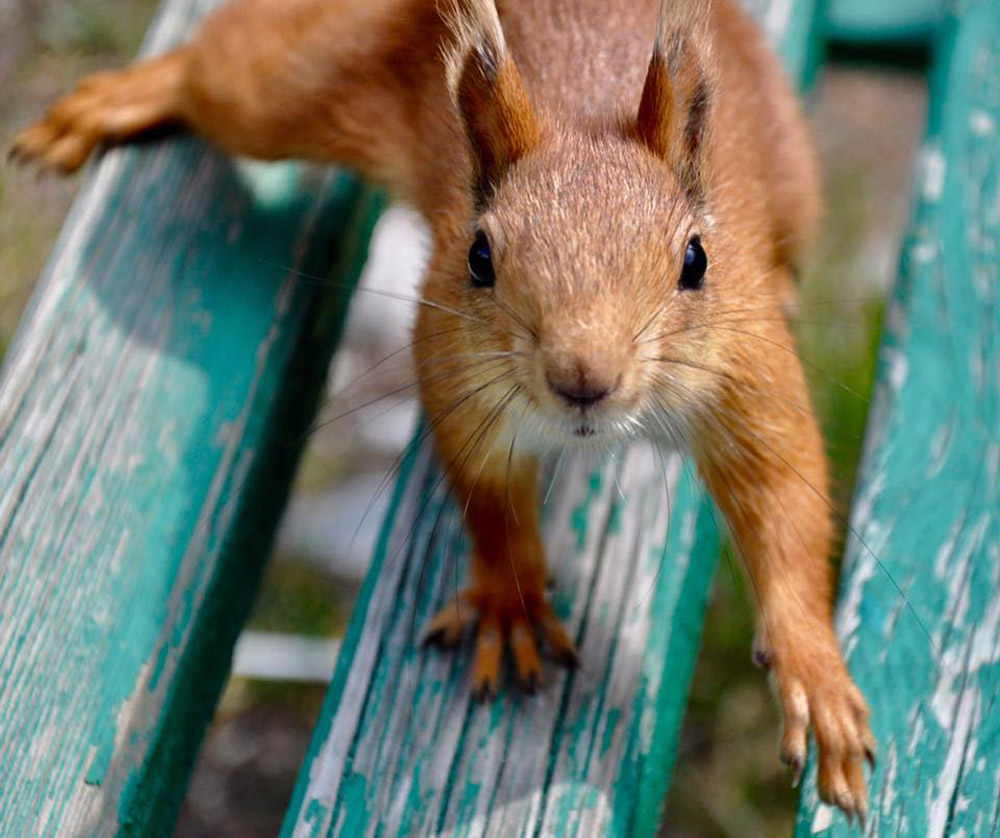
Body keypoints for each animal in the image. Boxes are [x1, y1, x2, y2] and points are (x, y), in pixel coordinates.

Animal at [13, 0, 876, 828]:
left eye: (696, 259)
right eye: (479, 256)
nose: (582, 380)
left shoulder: (748, 373)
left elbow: (786, 499)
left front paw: (814, 671)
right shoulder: (459, 378)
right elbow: (488, 499)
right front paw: (509, 605)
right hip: (287, 87)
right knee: (221, 70)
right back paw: (118, 98)